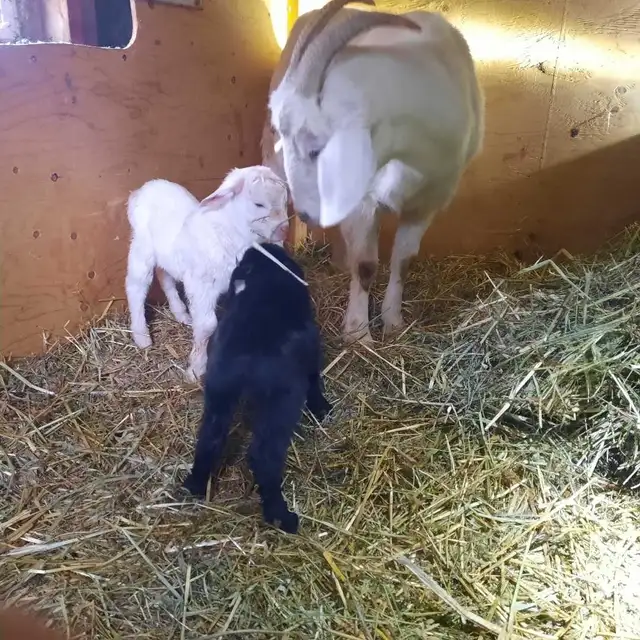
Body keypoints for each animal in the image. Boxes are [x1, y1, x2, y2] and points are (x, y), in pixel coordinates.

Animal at [125, 166, 290, 382]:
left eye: (285, 201)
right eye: (258, 204)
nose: (284, 230)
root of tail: (144, 189)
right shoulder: (200, 285)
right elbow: (207, 326)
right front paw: (196, 368)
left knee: (165, 276)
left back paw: (181, 313)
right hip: (142, 247)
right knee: (136, 286)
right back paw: (141, 336)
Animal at [183, 243, 331, 534]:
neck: (268, 279)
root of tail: (246, 356)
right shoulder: (311, 350)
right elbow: (314, 378)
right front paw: (322, 407)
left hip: (218, 393)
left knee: (210, 437)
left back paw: (196, 484)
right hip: (280, 404)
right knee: (263, 457)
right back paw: (281, 515)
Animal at [267, 0, 484, 344]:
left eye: (316, 149)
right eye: (283, 136)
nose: (305, 213)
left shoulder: (430, 199)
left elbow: (404, 260)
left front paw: (393, 321)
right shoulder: (362, 201)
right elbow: (367, 264)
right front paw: (359, 334)